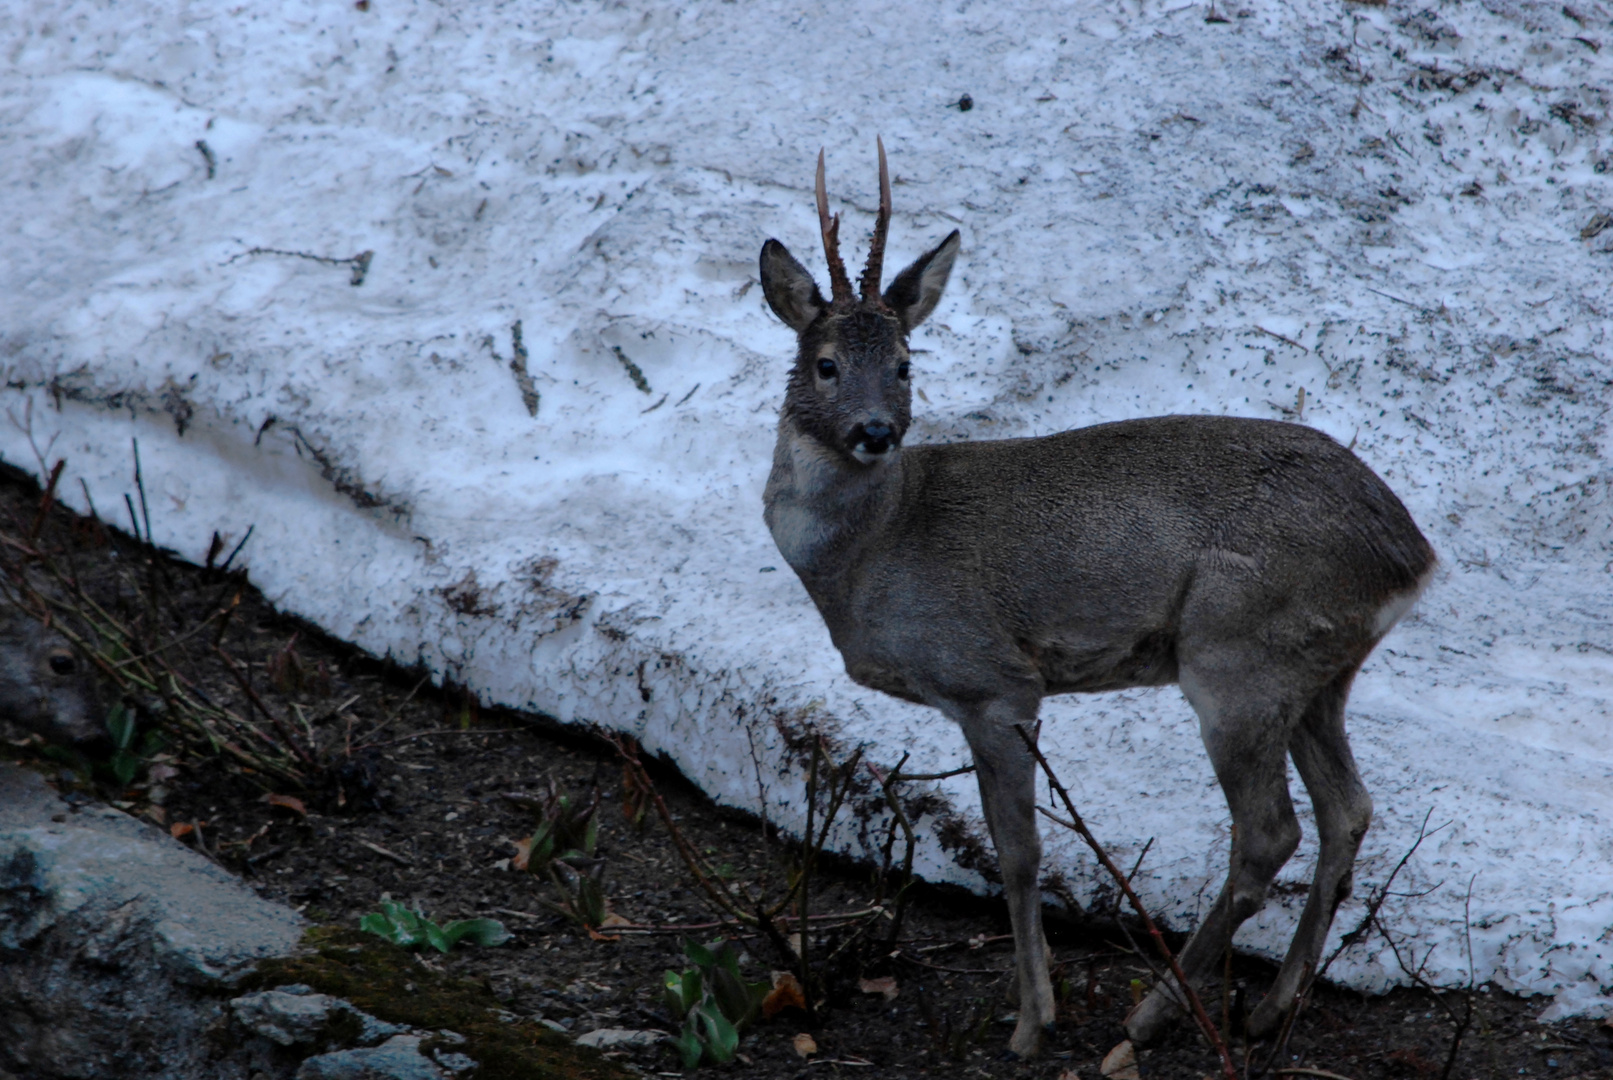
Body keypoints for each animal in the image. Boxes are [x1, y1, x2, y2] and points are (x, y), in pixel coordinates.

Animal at [754, 141, 1438, 1057]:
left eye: (904, 365)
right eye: (825, 364)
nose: (875, 432)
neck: (871, 553)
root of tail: (1410, 553)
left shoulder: (992, 678)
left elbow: (1017, 852)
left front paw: (1030, 1022)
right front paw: (1030, 1000)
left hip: (1238, 653)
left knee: (1270, 831)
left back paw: (1147, 1019)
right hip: (1317, 671)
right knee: (1347, 810)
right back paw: (1267, 1009)